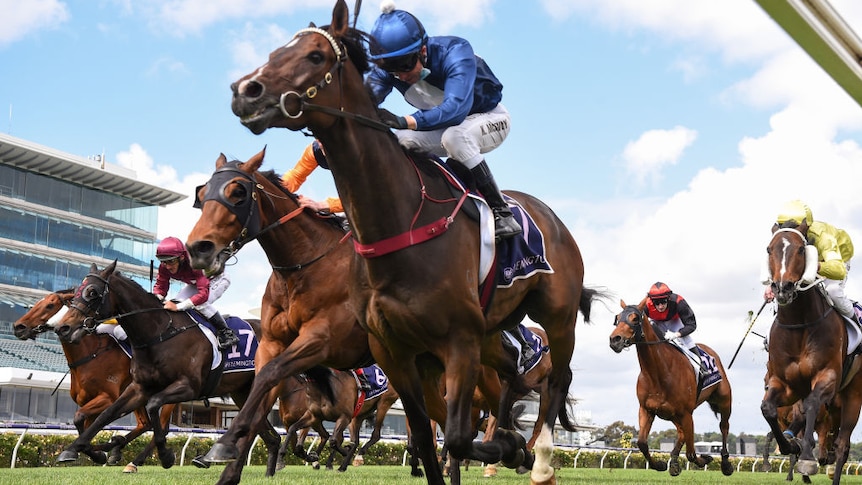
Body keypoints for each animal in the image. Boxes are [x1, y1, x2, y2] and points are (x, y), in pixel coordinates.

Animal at [12, 290, 175, 470]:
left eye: (50, 305)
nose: (18, 327)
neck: (90, 354)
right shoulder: (89, 401)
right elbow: (84, 426)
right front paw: (95, 452)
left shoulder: (108, 398)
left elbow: (79, 418)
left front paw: (94, 453)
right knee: (145, 424)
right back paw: (117, 447)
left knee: (161, 427)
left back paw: (136, 459)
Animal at [51, 262, 284, 474]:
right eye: (75, 294)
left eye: (93, 292)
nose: (63, 328)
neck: (159, 333)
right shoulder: (138, 388)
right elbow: (105, 415)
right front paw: (75, 450)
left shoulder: (188, 387)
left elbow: (155, 409)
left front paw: (165, 455)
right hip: (242, 393)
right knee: (266, 433)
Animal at [224, 1, 600, 482]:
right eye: (275, 51)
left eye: (315, 56)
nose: (245, 91)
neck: (398, 225)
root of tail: (551, 217)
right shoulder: (395, 351)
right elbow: (423, 435)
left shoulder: (458, 341)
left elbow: (457, 435)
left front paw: (511, 449)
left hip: (556, 315)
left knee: (555, 381)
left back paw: (540, 458)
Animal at [608, 300, 736, 474]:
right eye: (617, 317)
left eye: (635, 318)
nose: (615, 339)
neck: (658, 374)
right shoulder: (646, 409)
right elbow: (642, 443)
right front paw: (660, 465)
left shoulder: (687, 413)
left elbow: (691, 453)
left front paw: (705, 459)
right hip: (672, 415)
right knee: (681, 433)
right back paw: (674, 461)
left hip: (723, 401)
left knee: (724, 426)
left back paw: (725, 463)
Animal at [764, 222, 862, 480]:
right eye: (769, 249)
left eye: (801, 249)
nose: (782, 287)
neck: (799, 325)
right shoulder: (785, 384)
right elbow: (768, 409)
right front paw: (789, 445)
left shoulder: (827, 377)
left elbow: (812, 403)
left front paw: (807, 458)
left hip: (853, 395)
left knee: (842, 445)